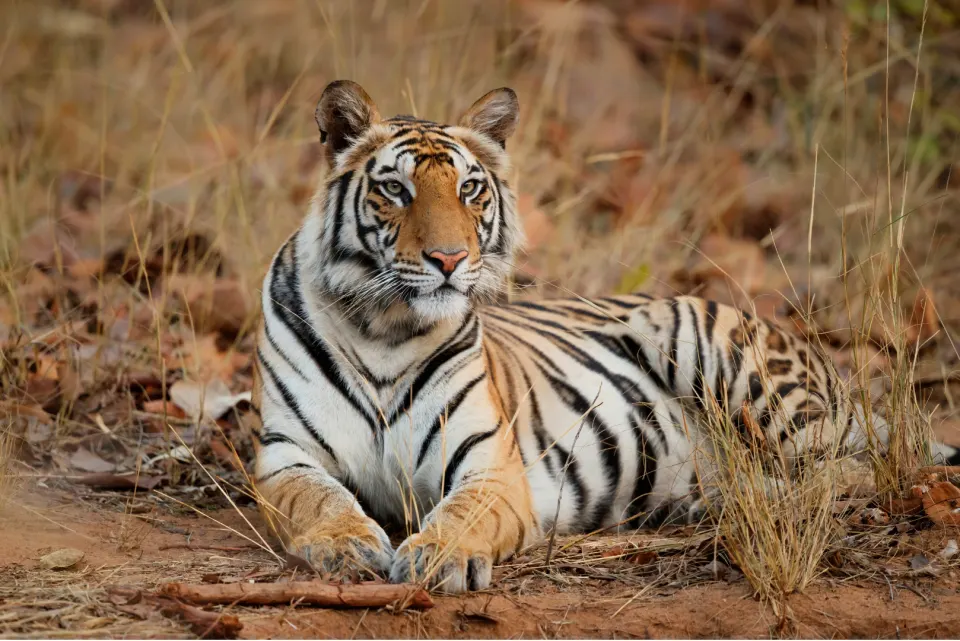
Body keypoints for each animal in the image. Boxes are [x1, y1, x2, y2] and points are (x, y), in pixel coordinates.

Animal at [251, 80, 960, 594]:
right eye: (395, 189)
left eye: (470, 188)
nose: (449, 259)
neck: (386, 327)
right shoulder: (286, 454)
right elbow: (317, 499)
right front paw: (344, 544)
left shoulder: (489, 463)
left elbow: (462, 513)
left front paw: (438, 555)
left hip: (720, 354)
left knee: (856, 469)